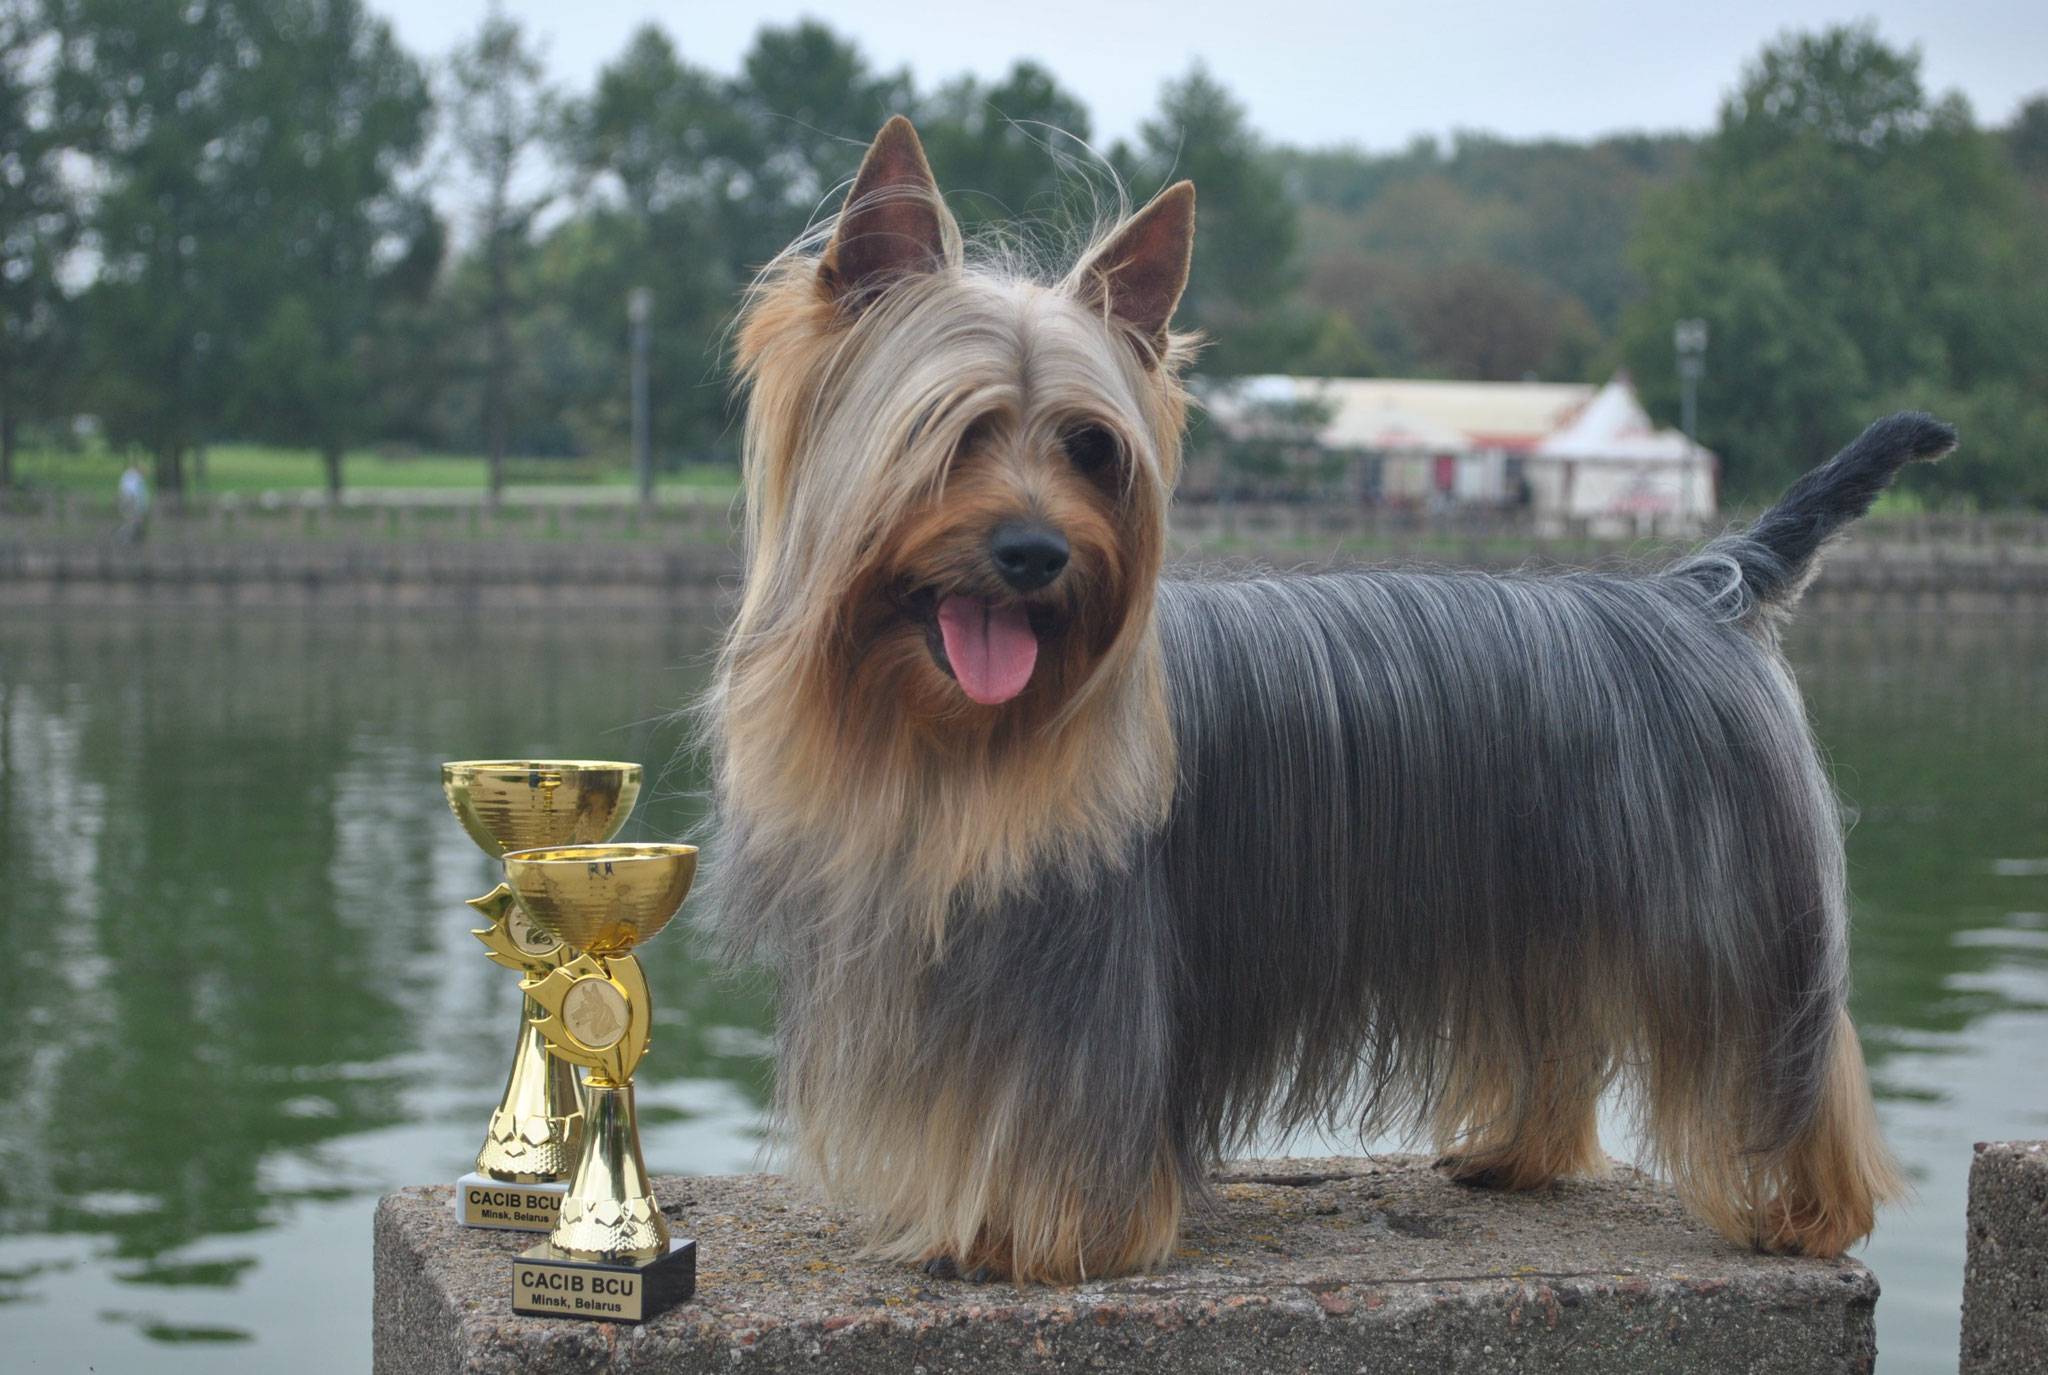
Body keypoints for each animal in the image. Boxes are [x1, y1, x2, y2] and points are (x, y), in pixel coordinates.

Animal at [700, 112, 1933, 1286]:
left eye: (1093, 448)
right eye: (954, 433)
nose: (1038, 553)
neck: (953, 743)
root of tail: (1700, 589)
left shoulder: (1088, 994)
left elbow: (1058, 1124)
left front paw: (1026, 1237)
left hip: (1730, 920)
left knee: (1780, 1058)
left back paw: (1802, 1213)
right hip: (1540, 905)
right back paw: (1517, 1154)